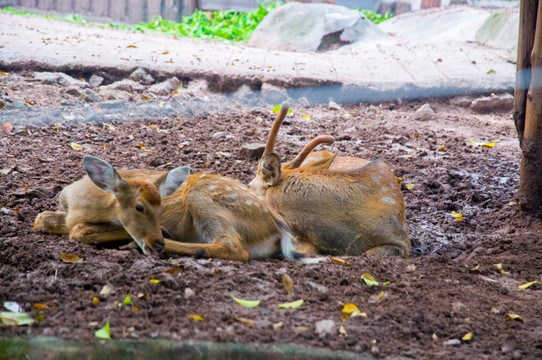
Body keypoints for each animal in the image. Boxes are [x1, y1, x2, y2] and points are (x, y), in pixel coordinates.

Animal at [35, 155, 318, 262]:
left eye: (161, 209)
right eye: (139, 207)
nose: (156, 240)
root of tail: (280, 228)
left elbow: (80, 231)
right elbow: (41, 219)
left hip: (202, 198)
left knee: (234, 247)